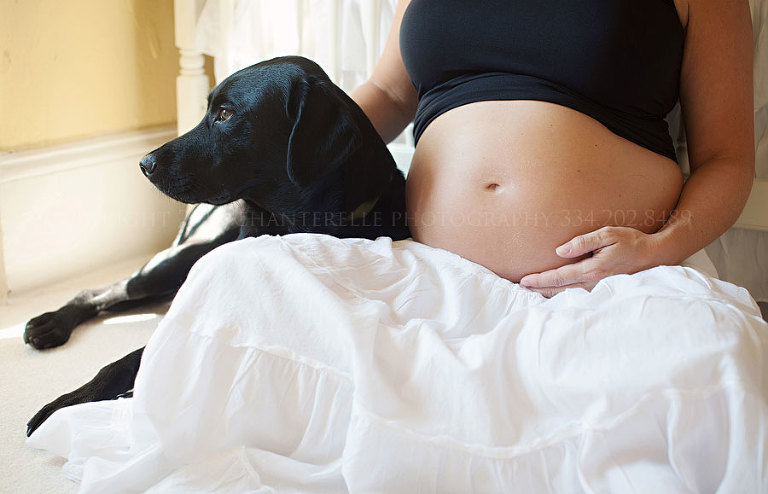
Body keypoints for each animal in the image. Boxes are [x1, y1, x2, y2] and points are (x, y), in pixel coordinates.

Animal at [25, 57, 408, 436]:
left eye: (225, 114)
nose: (144, 164)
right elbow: (124, 361)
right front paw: (67, 404)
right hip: (179, 261)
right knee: (105, 290)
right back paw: (52, 323)